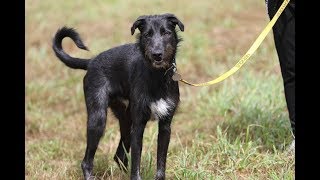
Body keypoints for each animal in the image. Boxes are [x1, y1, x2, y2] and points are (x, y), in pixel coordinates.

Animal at [51, 13, 184, 179]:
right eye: (147, 35)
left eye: (166, 33)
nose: (157, 54)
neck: (158, 77)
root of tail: (91, 62)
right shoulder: (138, 126)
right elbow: (136, 164)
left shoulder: (165, 126)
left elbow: (161, 163)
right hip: (98, 120)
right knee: (87, 162)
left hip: (126, 121)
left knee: (119, 156)